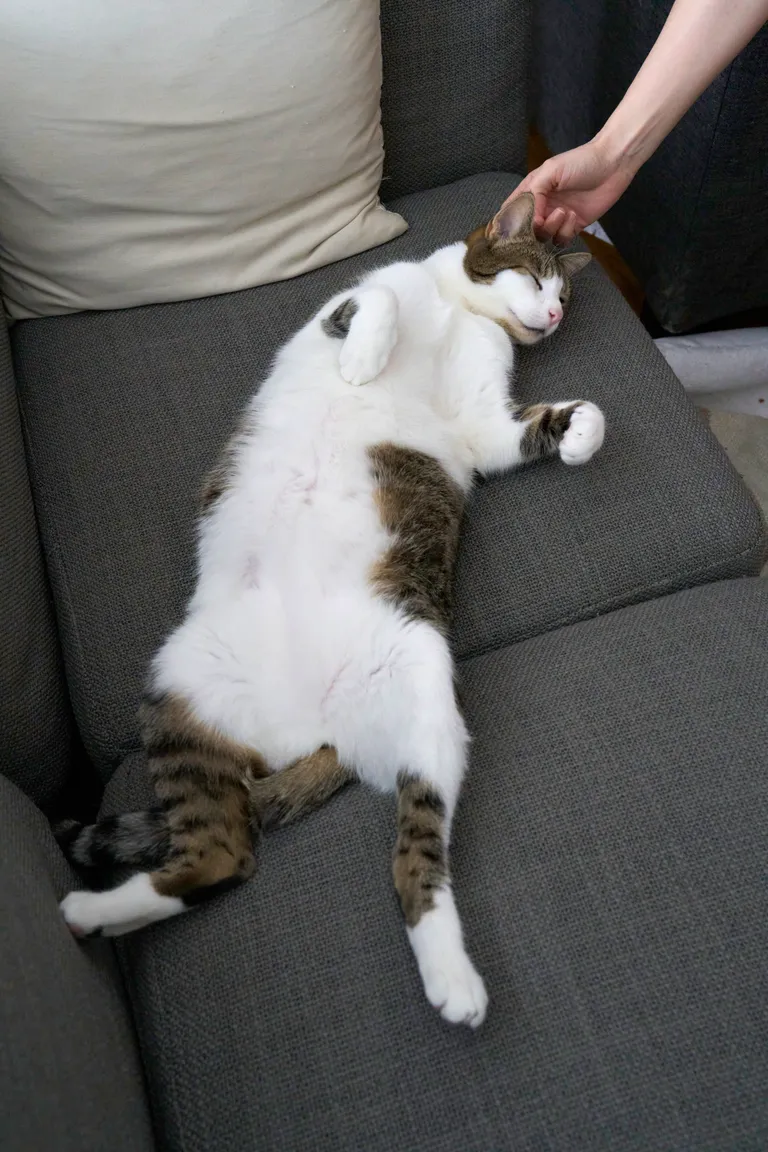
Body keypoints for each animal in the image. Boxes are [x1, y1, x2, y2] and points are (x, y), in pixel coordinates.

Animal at [58, 193, 598, 1032]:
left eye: (564, 296)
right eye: (540, 278)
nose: (552, 314)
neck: (457, 311)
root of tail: (313, 731)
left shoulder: (481, 424)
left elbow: (536, 427)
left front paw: (580, 431)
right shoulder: (349, 306)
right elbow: (376, 306)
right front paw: (364, 363)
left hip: (423, 697)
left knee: (380, 858)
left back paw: (454, 980)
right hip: (184, 688)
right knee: (225, 853)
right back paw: (94, 913)